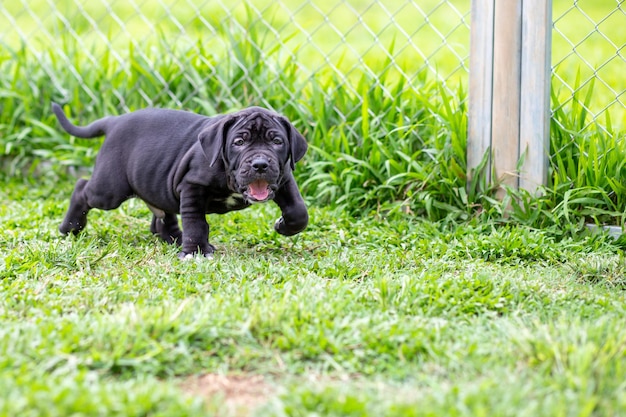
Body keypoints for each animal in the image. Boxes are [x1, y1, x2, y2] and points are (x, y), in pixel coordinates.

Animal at [51, 102, 308, 256]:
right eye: (239, 142)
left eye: (277, 142)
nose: (261, 164)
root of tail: (114, 120)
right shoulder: (192, 185)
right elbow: (196, 221)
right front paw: (195, 251)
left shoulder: (284, 178)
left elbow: (299, 211)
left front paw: (284, 225)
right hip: (109, 190)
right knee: (82, 188)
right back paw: (70, 227)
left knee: (163, 215)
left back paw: (175, 239)